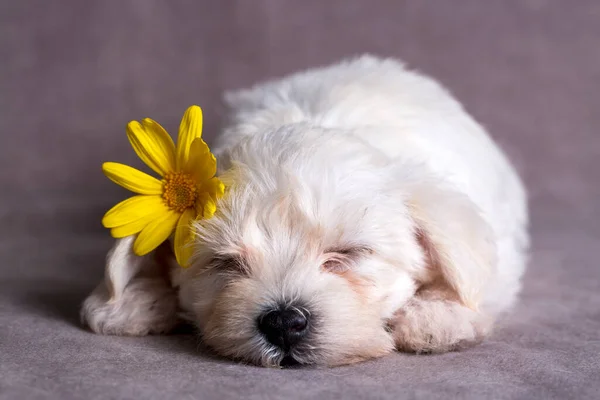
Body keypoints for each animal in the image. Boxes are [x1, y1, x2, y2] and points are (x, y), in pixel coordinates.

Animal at [82, 54, 528, 368]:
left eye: (348, 254)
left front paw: (437, 315)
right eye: (225, 263)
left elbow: (474, 279)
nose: (283, 323)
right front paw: (131, 299)